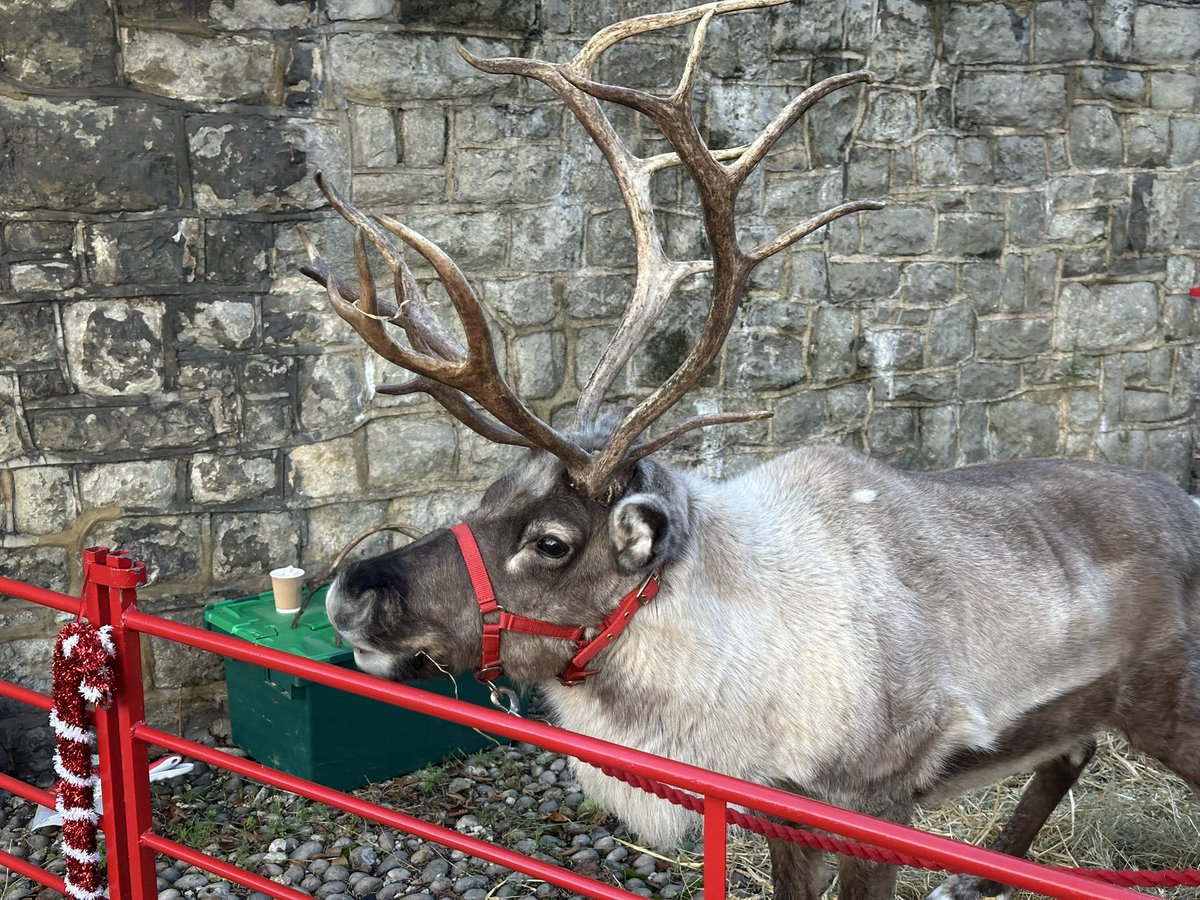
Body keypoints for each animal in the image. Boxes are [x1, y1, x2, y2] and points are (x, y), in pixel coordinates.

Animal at [298, 2, 1200, 898]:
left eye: (551, 542)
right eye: (487, 493)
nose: (351, 591)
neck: (729, 651)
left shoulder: (880, 799)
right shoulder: (778, 808)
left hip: (1174, 714)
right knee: (1073, 752)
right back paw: (976, 879)